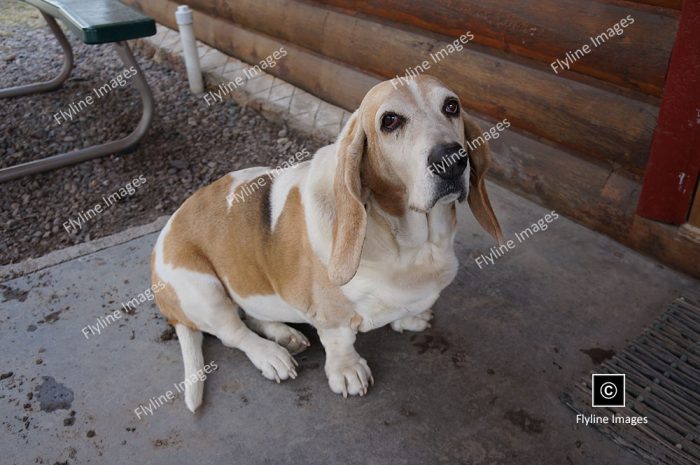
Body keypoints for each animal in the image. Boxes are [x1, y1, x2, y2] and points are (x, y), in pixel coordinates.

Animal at [152, 74, 504, 412]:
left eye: (451, 106)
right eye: (389, 120)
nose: (452, 159)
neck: (411, 245)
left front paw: (409, 318)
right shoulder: (331, 315)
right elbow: (339, 340)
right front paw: (347, 371)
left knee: (251, 314)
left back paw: (285, 334)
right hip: (203, 289)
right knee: (233, 333)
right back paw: (271, 354)